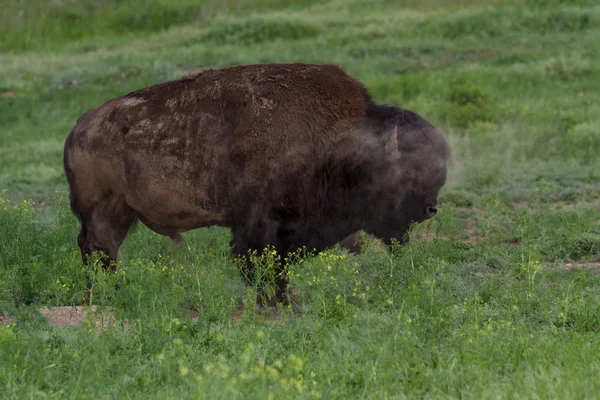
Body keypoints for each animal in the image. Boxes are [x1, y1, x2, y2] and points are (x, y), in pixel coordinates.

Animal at [64, 64, 450, 304]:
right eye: (410, 173)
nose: (431, 208)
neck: (346, 145)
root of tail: (80, 126)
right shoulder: (259, 224)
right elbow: (259, 262)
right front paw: (273, 300)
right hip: (106, 209)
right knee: (99, 248)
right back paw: (107, 294)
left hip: (121, 211)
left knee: (100, 249)